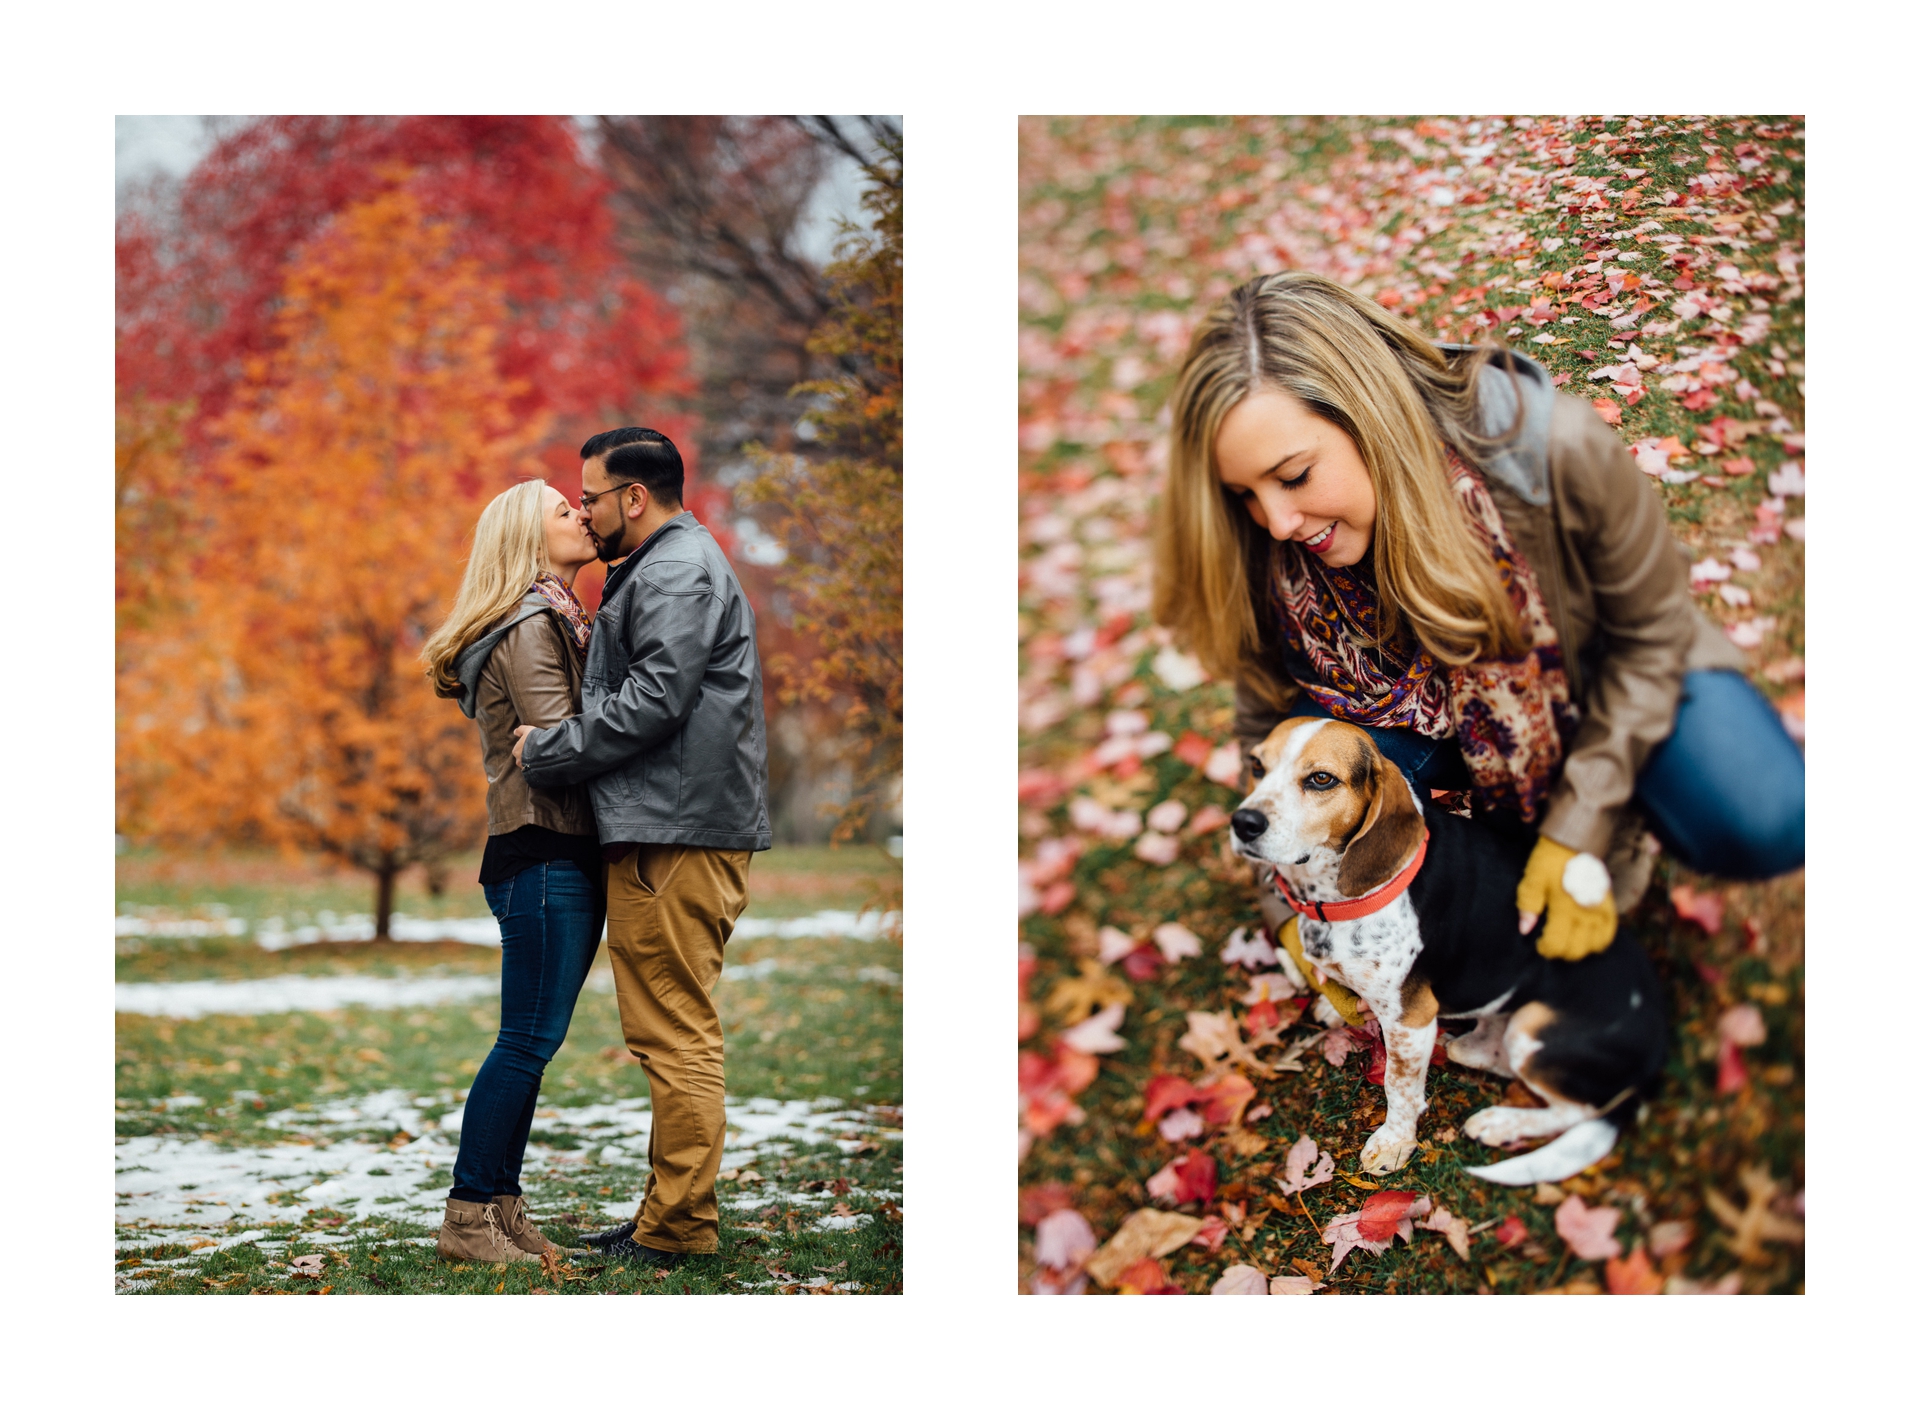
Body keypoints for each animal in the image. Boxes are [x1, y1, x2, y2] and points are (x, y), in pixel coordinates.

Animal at [1228, 718, 1666, 1183]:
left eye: (1321, 779)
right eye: (1256, 765)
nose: (1243, 822)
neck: (1335, 899)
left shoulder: (1411, 1021)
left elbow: (1399, 1085)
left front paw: (1394, 1143)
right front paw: (1336, 1004)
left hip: (1531, 1026)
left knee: (1577, 1111)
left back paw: (1501, 1122)